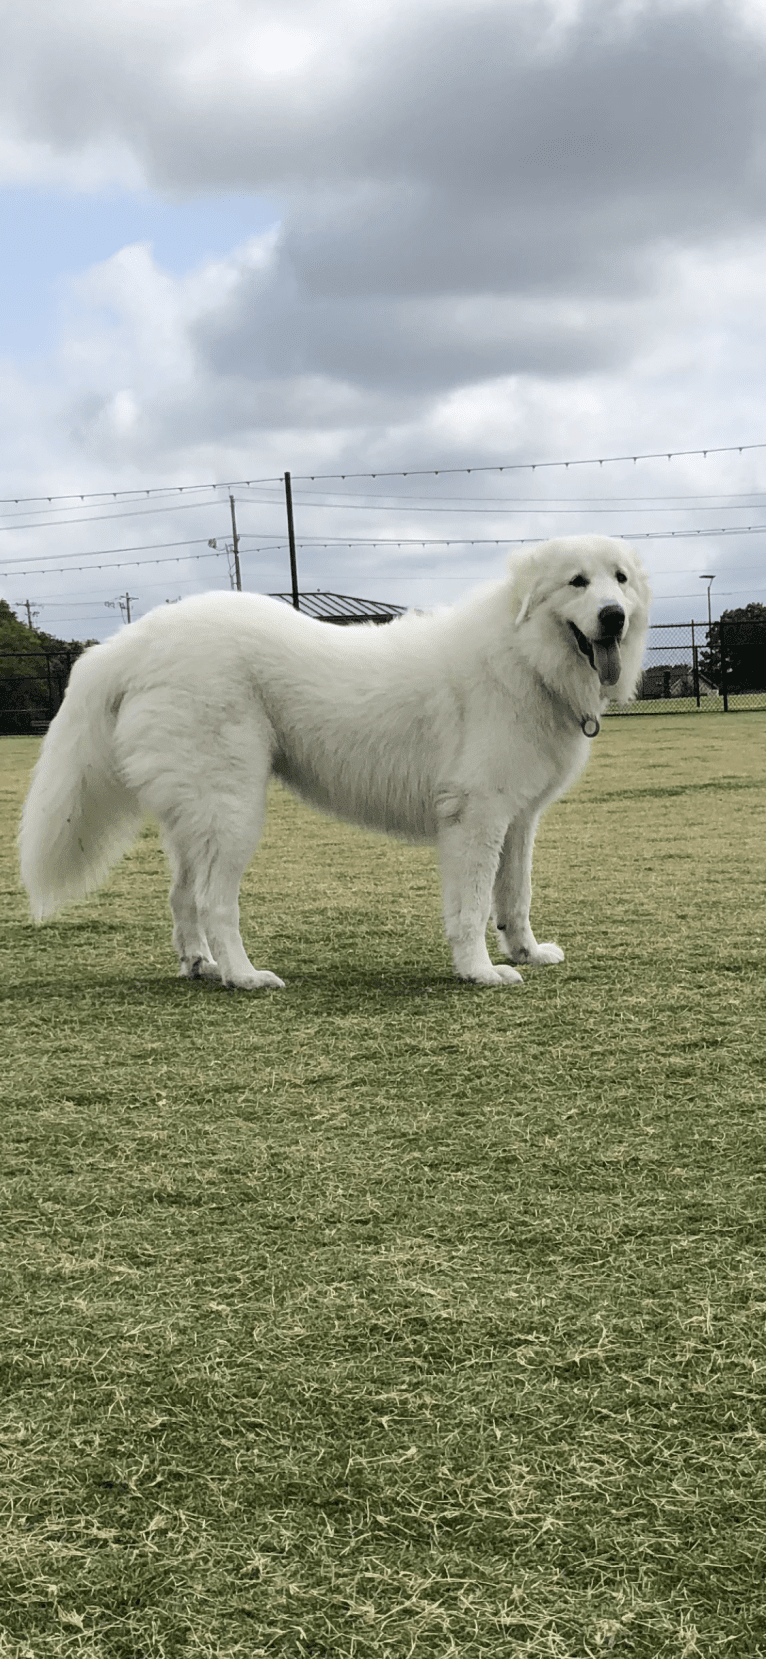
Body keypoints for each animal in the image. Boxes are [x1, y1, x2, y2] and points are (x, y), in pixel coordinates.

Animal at [20, 537, 649, 988]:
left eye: (619, 579)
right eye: (577, 582)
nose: (613, 616)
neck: (524, 656)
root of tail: (136, 639)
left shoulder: (517, 821)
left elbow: (515, 898)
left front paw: (528, 953)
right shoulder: (475, 819)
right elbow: (471, 907)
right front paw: (480, 972)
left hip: (195, 816)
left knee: (180, 897)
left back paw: (201, 967)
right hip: (233, 812)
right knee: (212, 901)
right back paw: (244, 977)